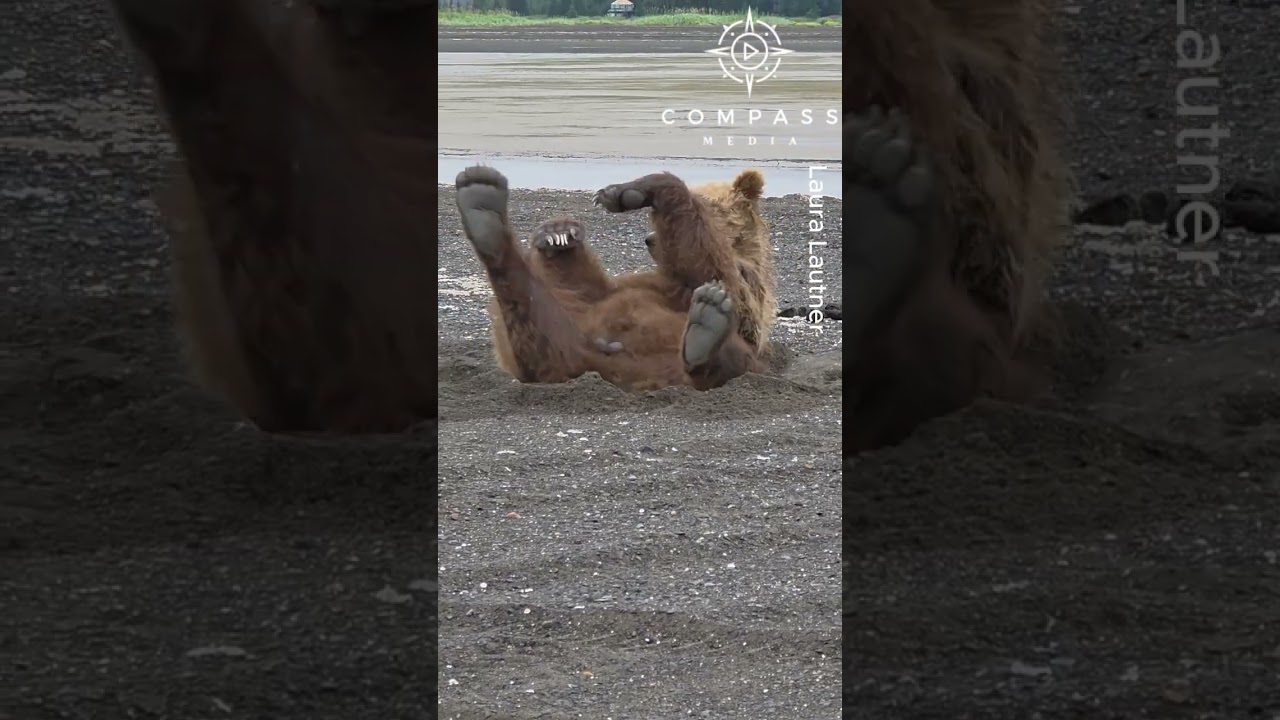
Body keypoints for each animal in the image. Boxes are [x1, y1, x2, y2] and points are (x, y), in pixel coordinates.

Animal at [454, 165, 778, 392]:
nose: (649, 239)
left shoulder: (742, 285)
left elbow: (705, 265)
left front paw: (633, 191)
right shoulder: (629, 286)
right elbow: (585, 285)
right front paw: (559, 232)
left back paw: (706, 331)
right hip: (563, 344)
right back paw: (483, 209)